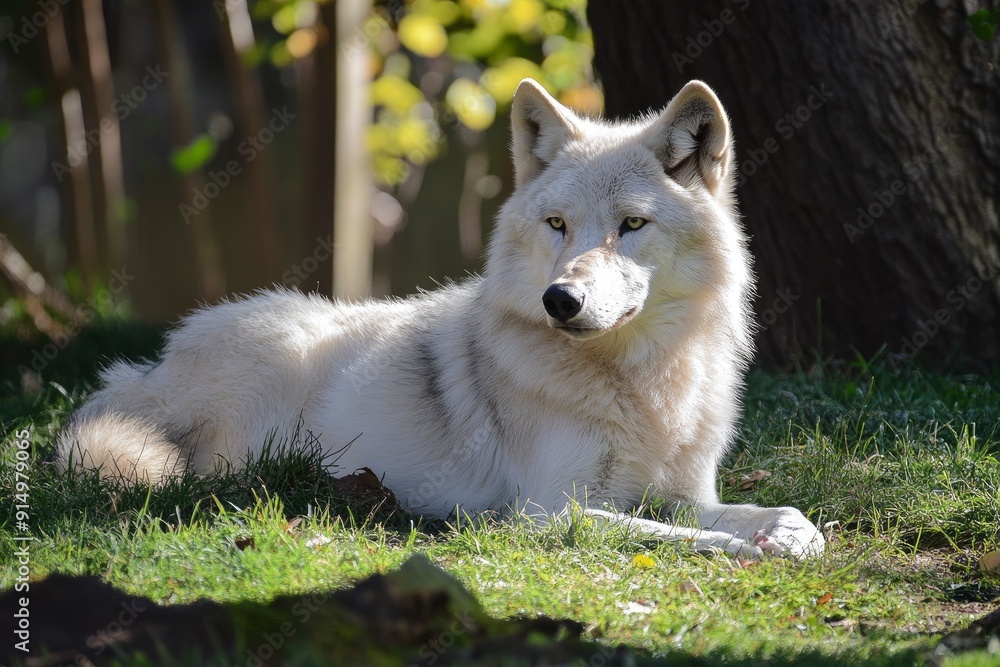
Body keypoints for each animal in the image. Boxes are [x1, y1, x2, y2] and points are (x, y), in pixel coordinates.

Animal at [57, 79, 824, 559]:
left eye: (631, 225)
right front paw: (748, 548)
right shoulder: (551, 511)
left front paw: (792, 533)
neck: (644, 382)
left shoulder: (682, 491)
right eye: (558, 224)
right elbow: (683, 535)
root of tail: (145, 370)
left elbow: (772, 512)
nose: (560, 300)